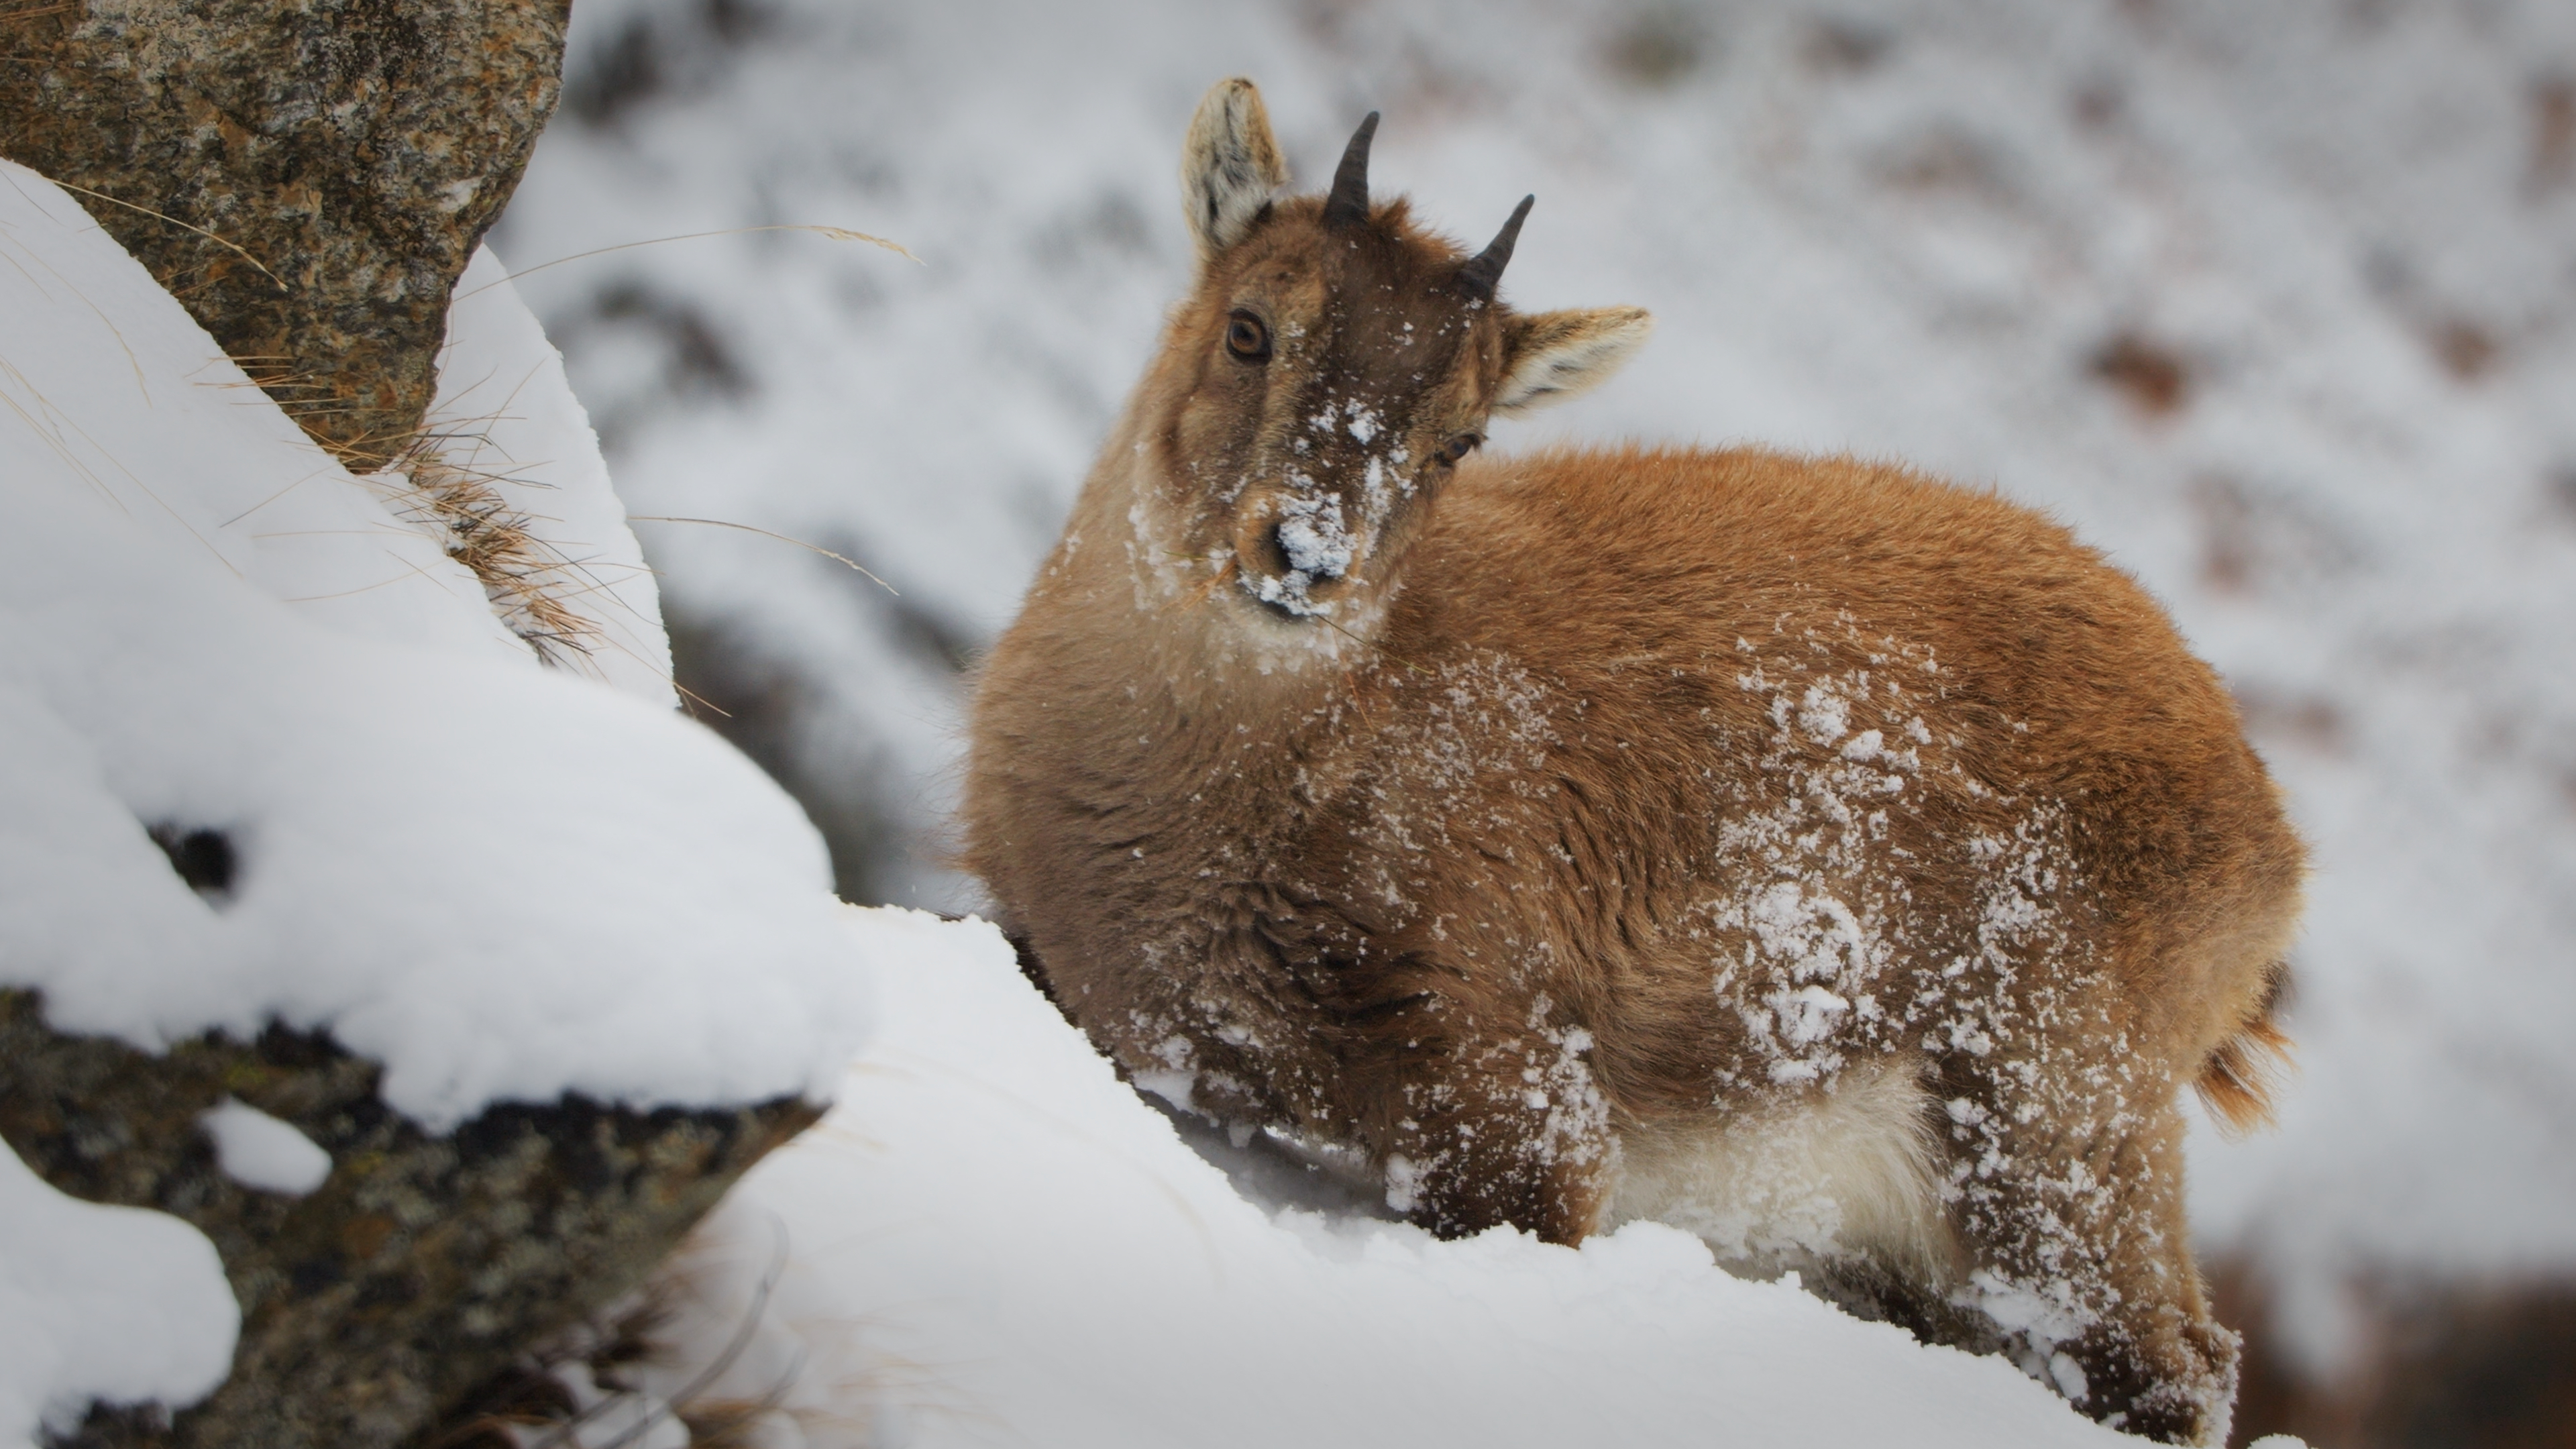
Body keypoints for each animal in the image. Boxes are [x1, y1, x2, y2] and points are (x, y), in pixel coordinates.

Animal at [962, 78, 2304, 1445]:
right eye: (1250, 329)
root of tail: (2270, 839)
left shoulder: (1513, 1089)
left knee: (2176, 1370)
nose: (1304, 557)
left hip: (2057, 1128)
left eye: (1460, 441)